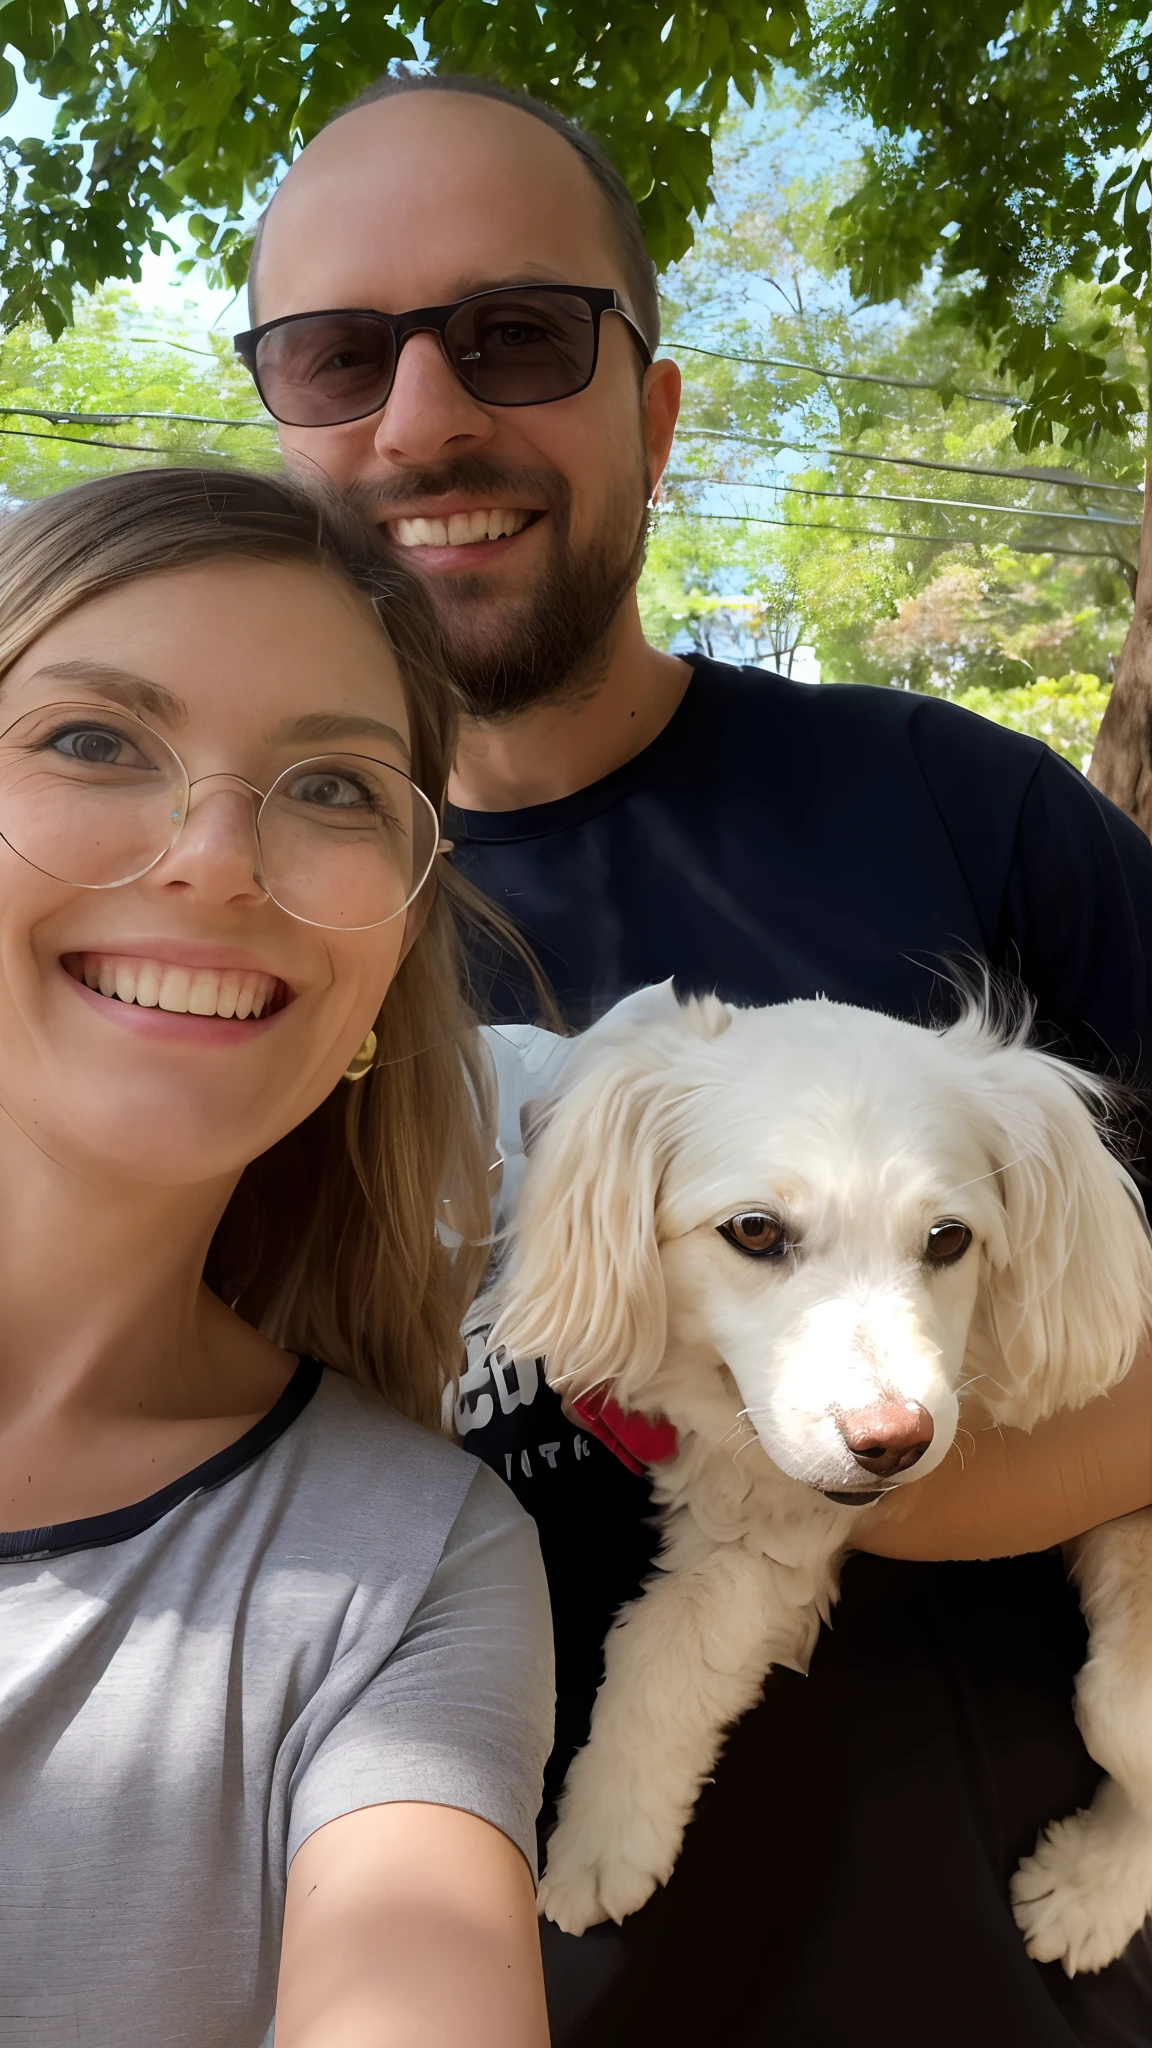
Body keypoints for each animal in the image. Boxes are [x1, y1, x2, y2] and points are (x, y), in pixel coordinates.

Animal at [485, 983, 1152, 1974]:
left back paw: (1089, 1890)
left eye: (949, 1239)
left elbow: (659, 1651)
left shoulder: (778, 1529)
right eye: (754, 1230)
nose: (894, 1443)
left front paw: (602, 1837)